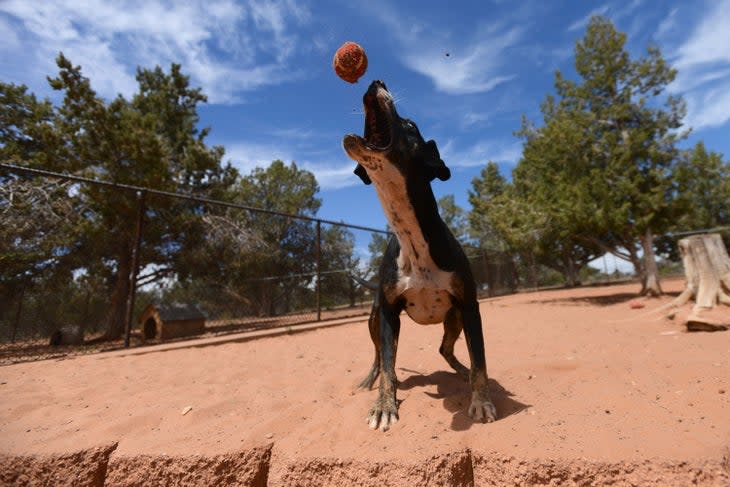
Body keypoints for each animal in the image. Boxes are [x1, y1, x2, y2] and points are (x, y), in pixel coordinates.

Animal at [342, 81, 494, 434]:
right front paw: (384, 406)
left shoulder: (469, 307)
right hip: (374, 319)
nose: (376, 82)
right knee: (379, 356)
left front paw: (480, 400)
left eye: (411, 125)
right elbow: (387, 362)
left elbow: (480, 359)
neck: (411, 235)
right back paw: (371, 379)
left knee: (445, 349)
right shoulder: (388, 314)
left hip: (453, 318)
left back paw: (461, 371)